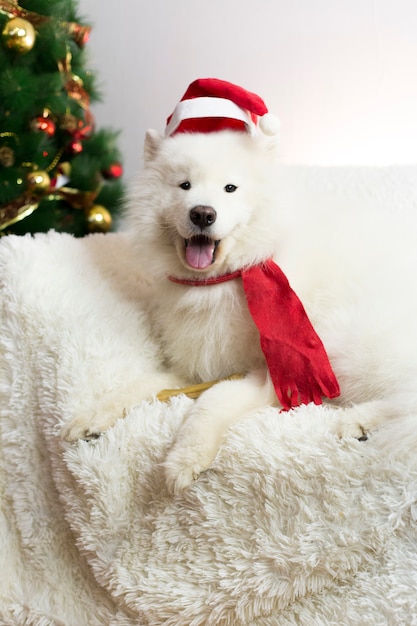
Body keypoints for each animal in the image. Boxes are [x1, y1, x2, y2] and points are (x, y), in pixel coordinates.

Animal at [63, 79, 416, 492]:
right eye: (183, 185)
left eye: (230, 188)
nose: (202, 213)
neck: (223, 280)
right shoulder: (196, 367)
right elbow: (139, 384)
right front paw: (92, 415)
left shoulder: (275, 371)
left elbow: (212, 401)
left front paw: (186, 458)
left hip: (345, 340)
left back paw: (358, 421)